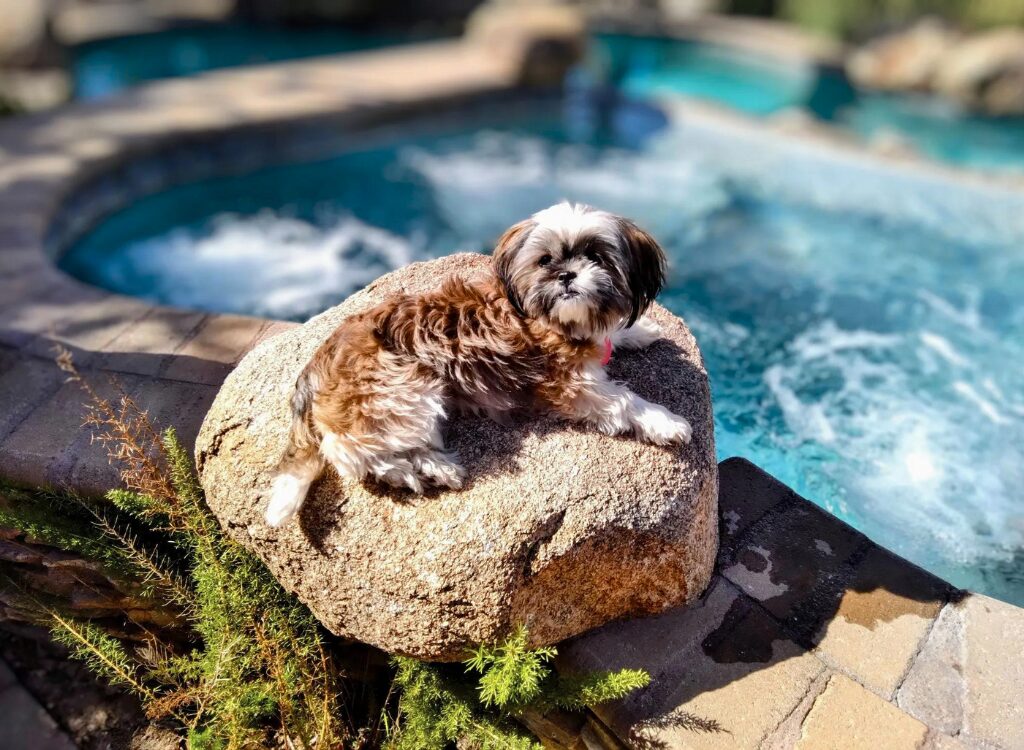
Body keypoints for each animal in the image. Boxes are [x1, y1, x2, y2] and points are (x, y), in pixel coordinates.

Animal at [264, 201, 696, 524]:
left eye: (595, 256)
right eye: (545, 261)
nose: (566, 275)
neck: (546, 316)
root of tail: (315, 368)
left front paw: (636, 331)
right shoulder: (571, 385)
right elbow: (624, 401)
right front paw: (664, 422)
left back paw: (431, 466)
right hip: (404, 386)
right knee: (348, 452)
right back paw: (417, 470)